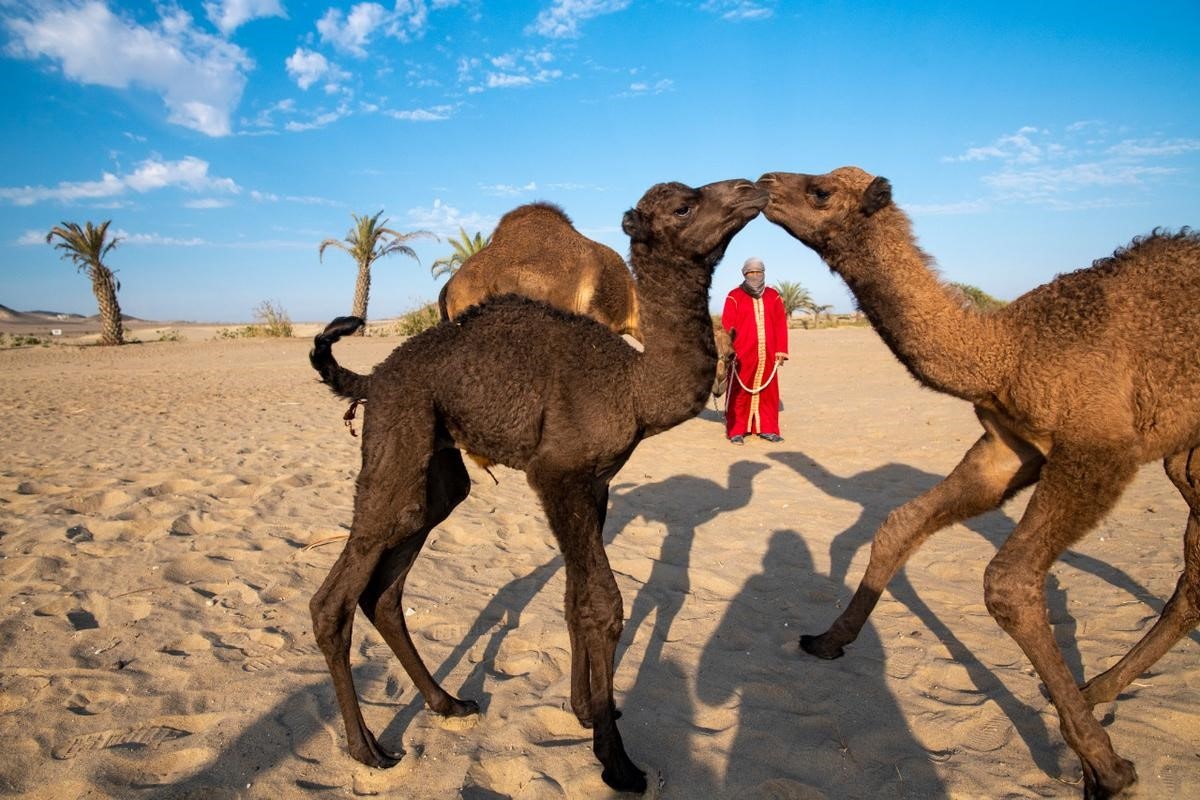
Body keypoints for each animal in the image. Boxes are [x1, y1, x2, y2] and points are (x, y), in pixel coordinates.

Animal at [307, 178, 768, 792]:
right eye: (683, 205)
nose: (750, 188)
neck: (632, 385)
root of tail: (371, 378)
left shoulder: (595, 486)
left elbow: (577, 599)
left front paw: (586, 709)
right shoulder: (557, 475)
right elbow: (604, 603)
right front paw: (616, 759)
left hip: (436, 470)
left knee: (387, 586)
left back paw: (449, 703)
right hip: (397, 437)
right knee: (334, 599)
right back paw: (368, 750)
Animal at [757, 166, 1200, 799]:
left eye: (821, 191)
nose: (763, 181)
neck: (1006, 351)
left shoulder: (1100, 449)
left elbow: (1008, 583)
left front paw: (1109, 770)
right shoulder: (1008, 448)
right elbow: (900, 525)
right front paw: (827, 640)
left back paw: (1094, 699)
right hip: (1186, 456)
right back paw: (1097, 689)